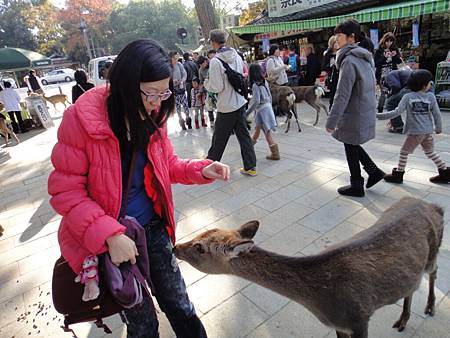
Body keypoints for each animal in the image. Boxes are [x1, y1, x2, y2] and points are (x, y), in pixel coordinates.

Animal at [174, 198, 444, 338]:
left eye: (199, 248)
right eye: (201, 232)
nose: (176, 246)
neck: (321, 300)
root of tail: (436, 206)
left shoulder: (360, 317)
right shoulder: (340, 325)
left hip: (434, 250)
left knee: (433, 271)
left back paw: (430, 307)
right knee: (412, 284)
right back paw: (403, 320)